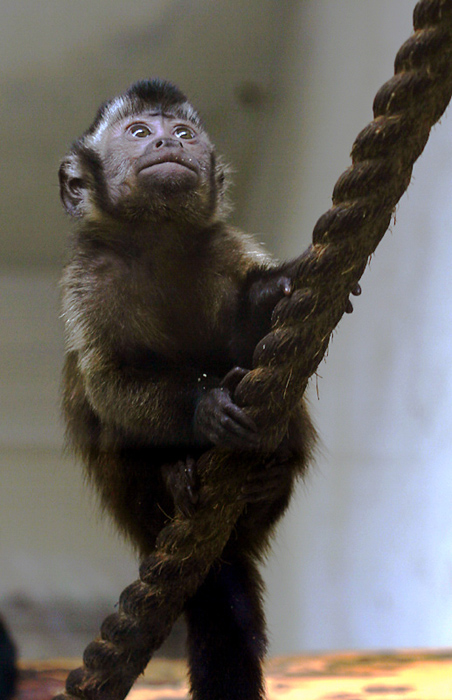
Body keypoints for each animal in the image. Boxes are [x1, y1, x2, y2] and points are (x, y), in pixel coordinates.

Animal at [59, 79, 318, 700]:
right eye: (138, 132)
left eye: (182, 132)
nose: (167, 142)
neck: (158, 238)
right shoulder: (90, 275)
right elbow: (107, 379)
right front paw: (206, 408)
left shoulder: (225, 246)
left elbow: (249, 334)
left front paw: (275, 289)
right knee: (89, 397)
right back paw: (173, 482)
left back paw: (265, 482)